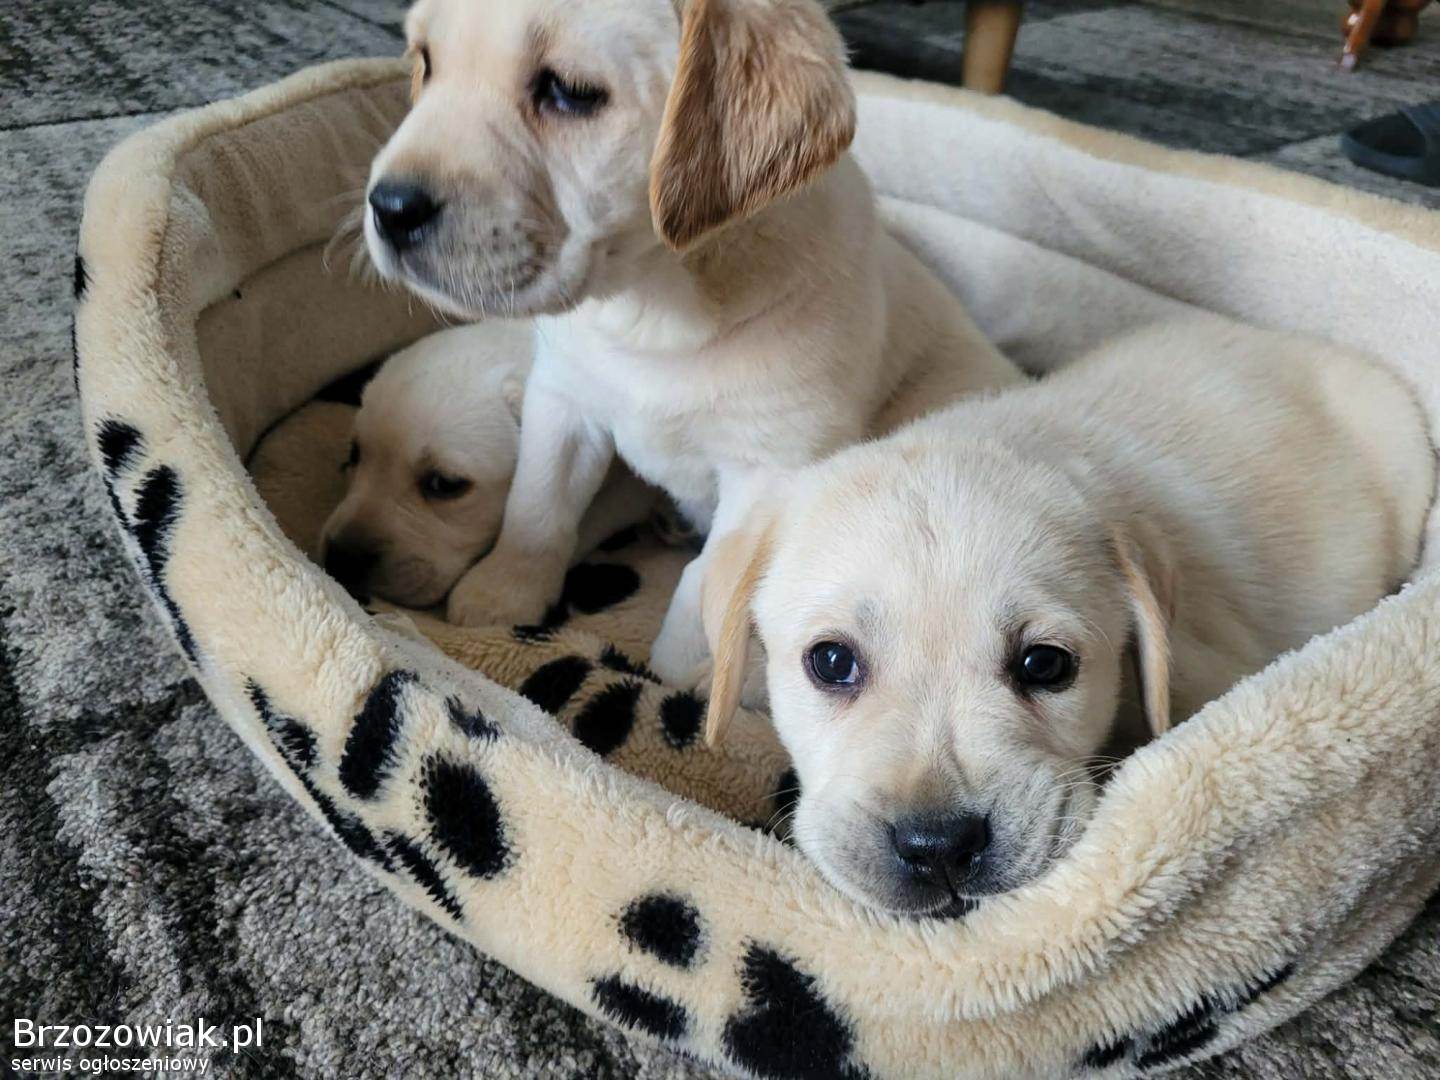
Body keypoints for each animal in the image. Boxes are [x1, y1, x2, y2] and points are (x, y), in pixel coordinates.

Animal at [362, 0, 1024, 682]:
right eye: (426, 62)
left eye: (568, 92)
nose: (389, 208)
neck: (654, 303)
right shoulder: (564, 399)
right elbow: (537, 502)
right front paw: (503, 591)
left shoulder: (769, 470)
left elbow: (705, 585)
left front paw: (686, 679)